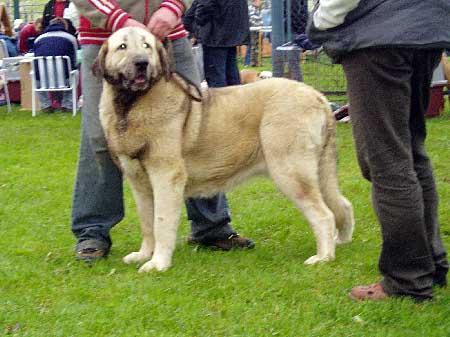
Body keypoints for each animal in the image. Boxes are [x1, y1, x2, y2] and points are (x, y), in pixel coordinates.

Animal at [93, 26, 354, 272]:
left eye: (146, 46)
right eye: (122, 47)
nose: (141, 63)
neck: (129, 106)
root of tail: (317, 95)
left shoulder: (165, 176)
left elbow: (161, 221)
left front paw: (158, 263)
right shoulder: (139, 182)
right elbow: (147, 223)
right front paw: (144, 255)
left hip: (291, 172)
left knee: (324, 214)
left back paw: (323, 257)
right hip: (316, 172)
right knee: (342, 205)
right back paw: (340, 240)